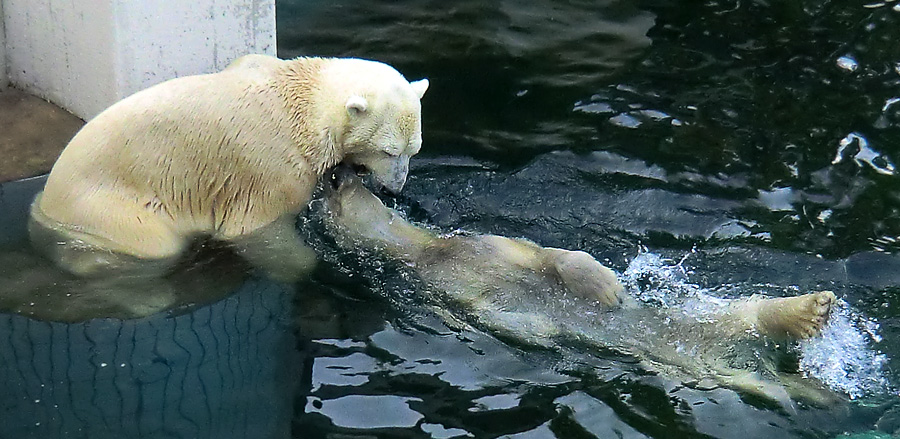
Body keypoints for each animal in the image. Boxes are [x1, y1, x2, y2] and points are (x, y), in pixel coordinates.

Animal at [28, 53, 428, 280]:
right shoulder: (273, 168)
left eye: (413, 150)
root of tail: (47, 203)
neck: (304, 102)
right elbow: (256, 229)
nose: (395, 188)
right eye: (389, 151)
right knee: (153, 245)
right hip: (110, 207)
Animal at [322, 167, 836, 404]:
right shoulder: (441, 291)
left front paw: (606, 288)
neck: (426, 251)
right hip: (704, 366)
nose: (336, 175)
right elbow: (496, 316)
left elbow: (550, 256)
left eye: (345, 175)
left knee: (739, 316)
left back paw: (811, 311)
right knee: (746, 369)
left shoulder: (485, 245)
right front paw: (540, 329)